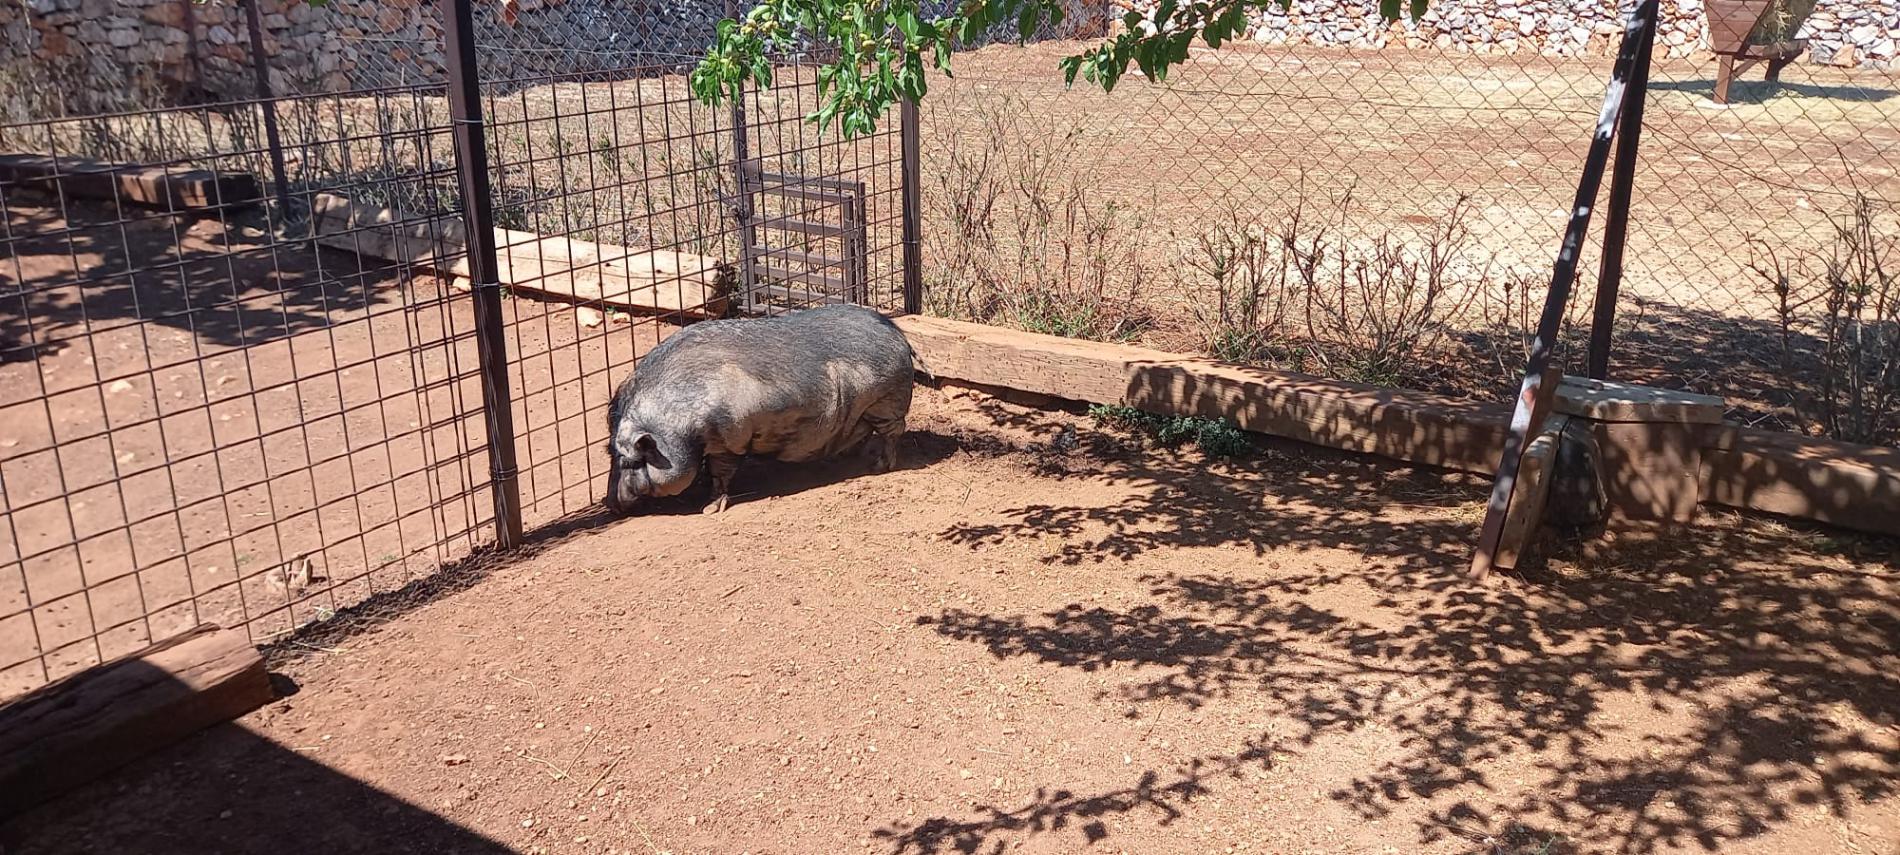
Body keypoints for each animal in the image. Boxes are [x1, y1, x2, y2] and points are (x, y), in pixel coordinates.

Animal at [604, 304, 919, 515]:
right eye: (611, 455)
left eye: (631, 461)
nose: (611, 503)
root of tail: (899, 336)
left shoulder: (728, 438)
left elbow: (721, 472)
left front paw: (709, 509)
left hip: (886, 400)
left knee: (892, 433)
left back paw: (879, 466)